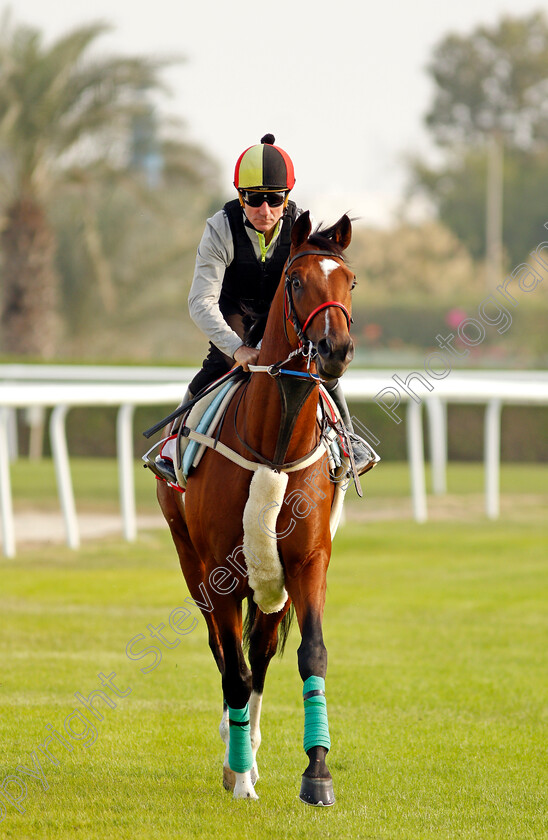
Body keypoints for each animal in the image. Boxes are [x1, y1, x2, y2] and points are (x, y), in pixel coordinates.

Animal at [156, 207, 358, 804]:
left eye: (350, 281)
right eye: (295, 281)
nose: (335, 349)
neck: (273, 443)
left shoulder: (307, 561)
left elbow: (309, 655)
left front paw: (317, 774)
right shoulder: (218, 572)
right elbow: (234, 670)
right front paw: (240, 773)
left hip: (270, 583)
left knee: (262, 652)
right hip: (191, 562)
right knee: (226, 655)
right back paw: (233, 749)